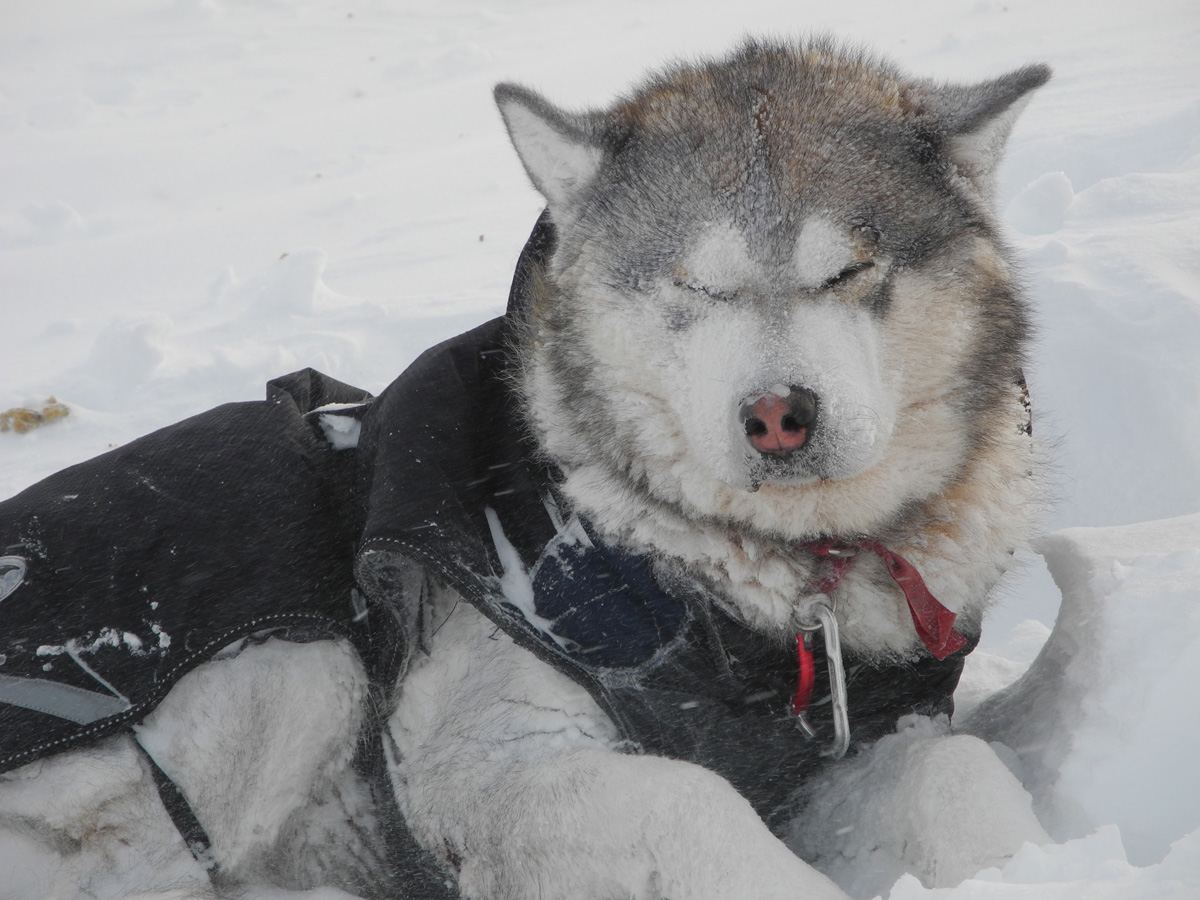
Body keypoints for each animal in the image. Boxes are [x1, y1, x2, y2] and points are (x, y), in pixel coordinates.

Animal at [0, 38, 1051, 900]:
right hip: (291, 662)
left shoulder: (863, 741)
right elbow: (691, 803)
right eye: (696, 285)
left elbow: (962, 775)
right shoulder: (480, 762)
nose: (776, 418)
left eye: (847, 271)